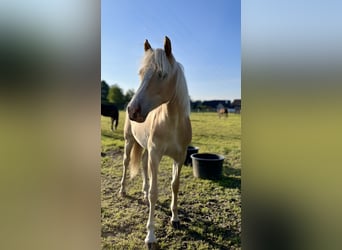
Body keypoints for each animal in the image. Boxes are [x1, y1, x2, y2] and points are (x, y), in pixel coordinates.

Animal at [120, 36, 191, 247]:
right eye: (141, 73)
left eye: (162, 74)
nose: (132, 110)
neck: (172, 123)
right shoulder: (156, 155)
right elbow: (154, 192)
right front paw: (150, 236)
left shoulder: (179, 157)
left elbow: (175, 186)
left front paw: (175, 218)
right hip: (129, 142)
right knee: (126, 163)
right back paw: (122, 190)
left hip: (145, 149)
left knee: (143, 164)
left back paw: (142, 193)